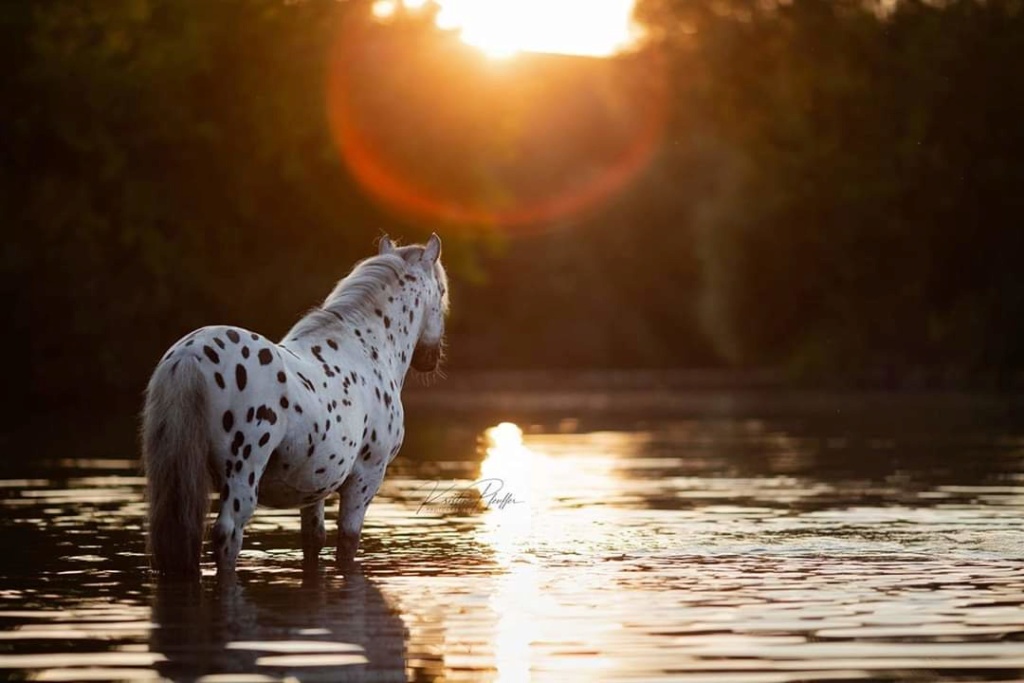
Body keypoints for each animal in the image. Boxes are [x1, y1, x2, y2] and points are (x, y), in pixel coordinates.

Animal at [142, 235, 446, 577]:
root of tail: (190, 355)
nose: (431, 359)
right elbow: (348, 544)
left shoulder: (315, 486)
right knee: (228, 535)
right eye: (442, 292)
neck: (366, 350)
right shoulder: (366, 476)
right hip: (242, 474)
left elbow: (314, 541)